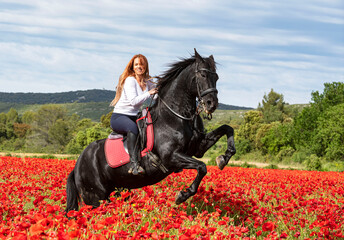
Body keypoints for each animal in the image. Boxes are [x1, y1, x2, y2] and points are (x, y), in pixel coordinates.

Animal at [66, 48, 235, 212]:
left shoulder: (197, 148)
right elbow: (202, 167)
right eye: (202, 74)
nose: (211, 103)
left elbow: (228, 129)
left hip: (118, 192)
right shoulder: (171, 157)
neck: (175, 116)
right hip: (96, 199)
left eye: (216, 77)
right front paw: (182, 195)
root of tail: (77, 166)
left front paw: (223, 158)